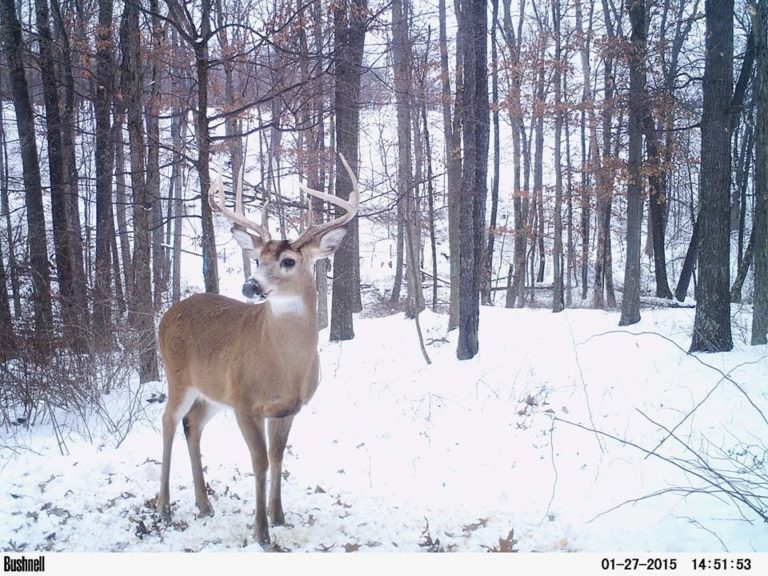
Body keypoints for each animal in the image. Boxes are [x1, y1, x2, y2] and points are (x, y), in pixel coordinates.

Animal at [157, 154, 359, 546]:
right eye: (257, 259)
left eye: (288, 261)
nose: (250, 285)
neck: (284, 365)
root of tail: (167, 314)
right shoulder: (245, 401)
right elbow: (260, 461)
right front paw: (262, 532)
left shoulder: (287, 408)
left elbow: (278, 458)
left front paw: (279, 517)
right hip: (178, 377)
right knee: (169, 422)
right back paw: (164, 506)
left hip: (212, 392)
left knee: (193, 425)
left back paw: (204, 504)